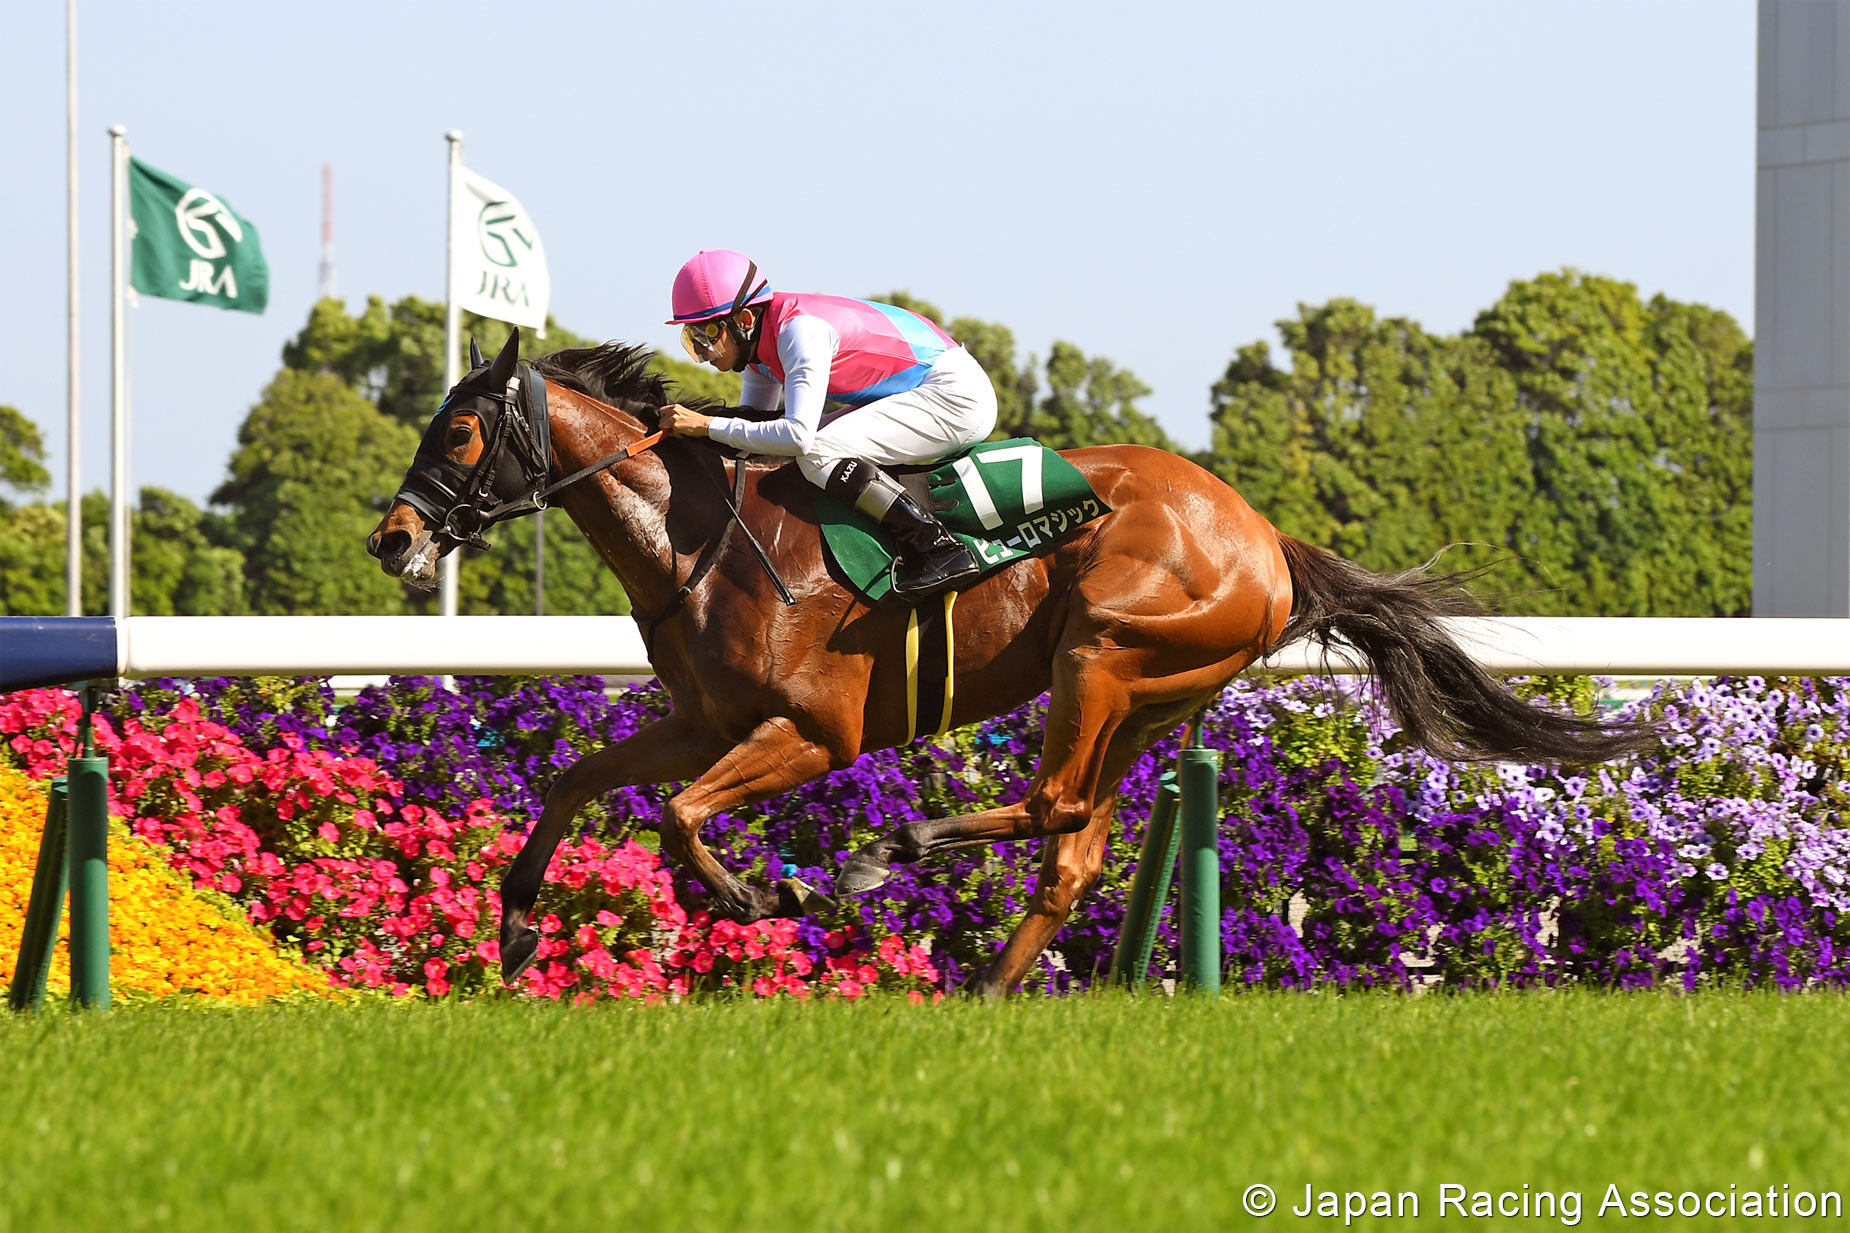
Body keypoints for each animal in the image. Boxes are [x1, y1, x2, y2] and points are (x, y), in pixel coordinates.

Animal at [368, 329, 1657, 999]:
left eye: (459, 430)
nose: (393, 536)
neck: (702, 537)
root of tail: (1263, 537)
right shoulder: (704, 718)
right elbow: (576, 781)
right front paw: (517, 933)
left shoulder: (814, 731)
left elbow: (679, 815)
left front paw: (757, 893)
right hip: (1147, 697)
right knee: (1073, 843)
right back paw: (986, 987)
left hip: (1104, 650)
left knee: (1054, 804)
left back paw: (889, 854)